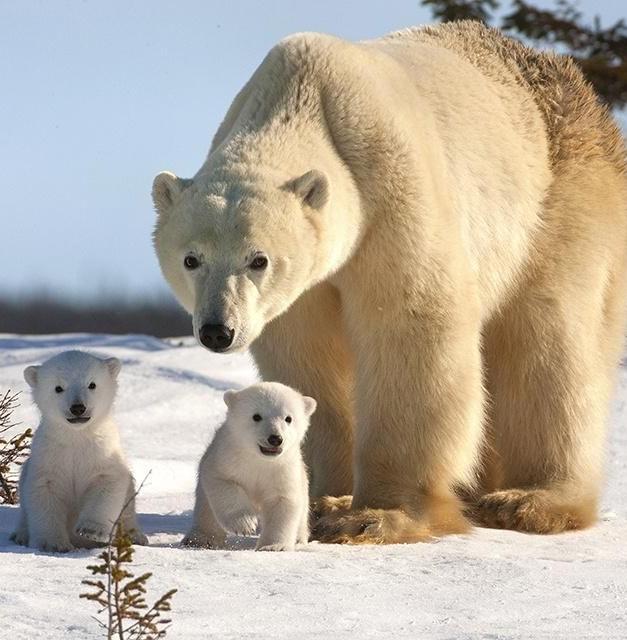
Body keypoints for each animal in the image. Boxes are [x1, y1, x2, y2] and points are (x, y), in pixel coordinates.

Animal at [10, 350, 148, 552]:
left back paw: (135, 536)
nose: (78, 408)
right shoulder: (50, 457)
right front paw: (52, 544)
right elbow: (44, 492)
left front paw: (91, 531)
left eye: (92, 384)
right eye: (58, 388)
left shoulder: (103, 453)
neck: (77, 436)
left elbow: (106, 484)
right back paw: (20, 535)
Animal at [183, 382, 316, 552]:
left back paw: (299, 539)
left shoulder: (283, 469)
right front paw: (245, 524)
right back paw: (201, 539)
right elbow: (223, 482)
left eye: (288, 418)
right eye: (256, 416)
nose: (275, 438)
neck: (259, 459)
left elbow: (282, 502)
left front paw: (273, 546)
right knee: (206, 511)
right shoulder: (227, 457)